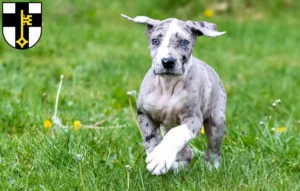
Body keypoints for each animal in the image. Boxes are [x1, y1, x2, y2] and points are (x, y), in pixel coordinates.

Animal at [120, 13, 226, 175]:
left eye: (184, 42)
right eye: (155, 41)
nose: (167, 61)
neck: (168, 85)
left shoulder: (193, 118)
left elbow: (177, 134)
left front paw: (160, 157)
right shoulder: (144, 114)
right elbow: (150, 140)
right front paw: (158, 159)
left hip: (217, 119)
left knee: (213, 148)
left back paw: (211, 166)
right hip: (167, 125)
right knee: (186, 153)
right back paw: (177, 166)